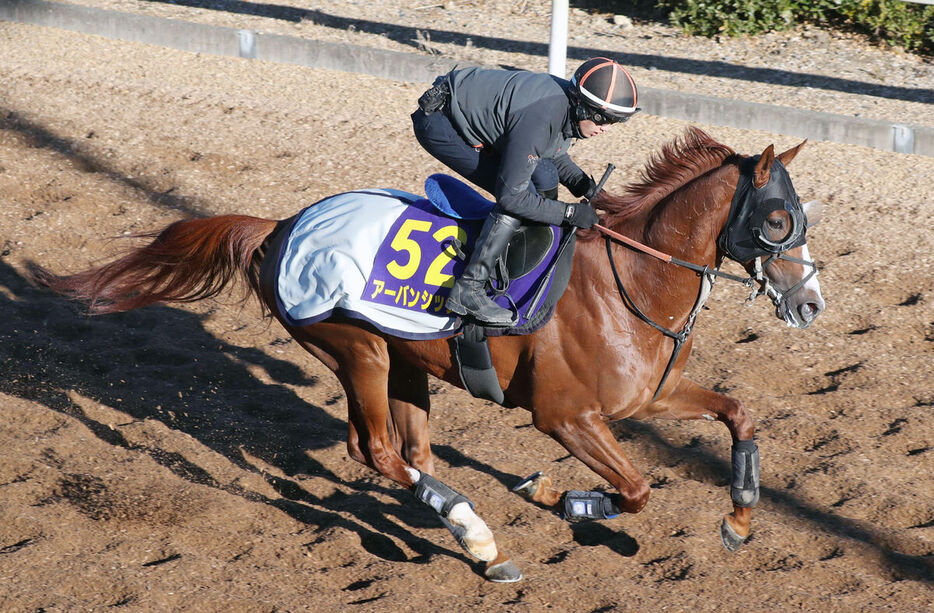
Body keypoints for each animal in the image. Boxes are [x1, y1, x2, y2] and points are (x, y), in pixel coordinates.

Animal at [36, 126, 828, 580]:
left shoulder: (649, 396)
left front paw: (740, 518)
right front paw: (562, 497)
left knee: (410, 451)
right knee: (376, 450)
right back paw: (478, 539)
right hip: (356, 349)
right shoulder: (564, 415)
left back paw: (462, 521)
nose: (811, 303)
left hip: (406, 361)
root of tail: (281, 226)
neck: (631, 279)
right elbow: (635, 490)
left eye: (804, 217)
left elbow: (740, 414)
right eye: (778, 220)